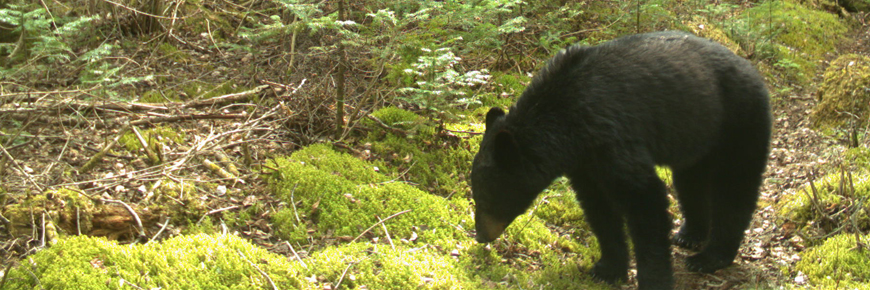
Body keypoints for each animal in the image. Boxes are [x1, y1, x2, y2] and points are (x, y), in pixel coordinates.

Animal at [474, 30, 772, 288]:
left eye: (486, 196)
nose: (480, 235)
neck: (566, 122)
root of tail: (752, 69)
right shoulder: (584, 162)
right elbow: (599, 209)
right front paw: (607, 268)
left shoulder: (611, 137)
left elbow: (645, 200)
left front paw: (653, 278)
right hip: (697, 135)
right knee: (690, 182)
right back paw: (690, 234)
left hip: (738, 121)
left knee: (734, 189)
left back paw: (711, 256)